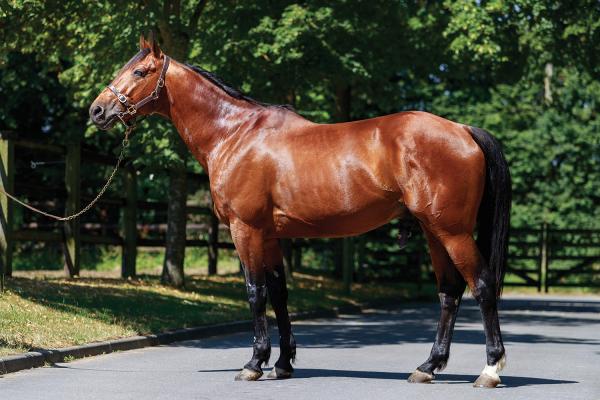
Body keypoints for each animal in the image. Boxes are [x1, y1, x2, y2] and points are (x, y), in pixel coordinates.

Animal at [89, 35, 510, 388]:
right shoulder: (270, 235)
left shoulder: (246, 230)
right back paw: (428, 366)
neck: (235, 134)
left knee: (482, 285)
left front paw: (254, 363)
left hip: (452, 231)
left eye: (139, 72)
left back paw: (489, 369)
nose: (97, 110)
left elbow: (255, 292)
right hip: (433, 231)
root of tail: (463, 130)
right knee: (450, 291)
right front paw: (283, 363)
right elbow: (279, 293)